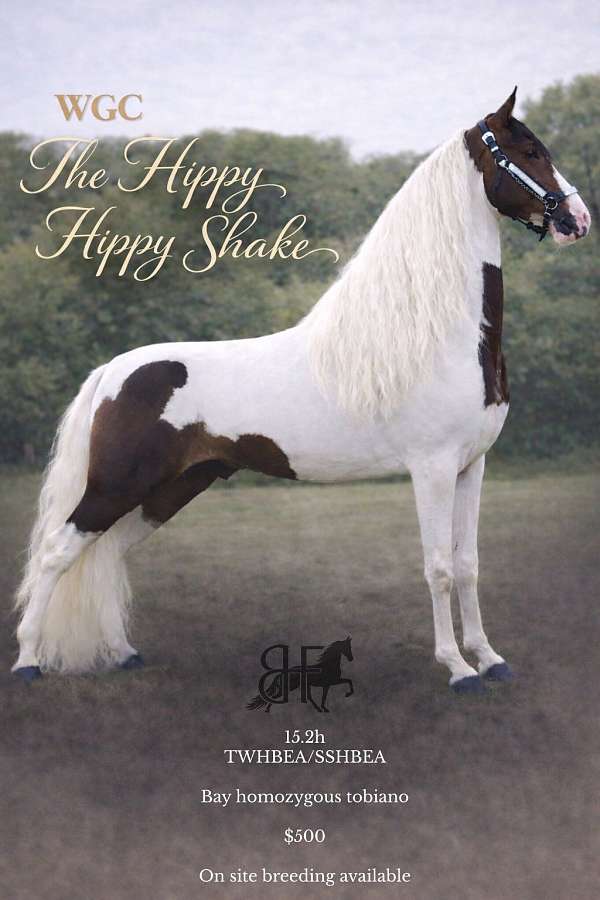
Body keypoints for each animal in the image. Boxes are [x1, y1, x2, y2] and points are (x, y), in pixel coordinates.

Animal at [13, 88, 591, 693]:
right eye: (529, 151)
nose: (578, 219)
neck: (443, 336)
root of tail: (112, 371)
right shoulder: (431, 468)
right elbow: (438, 568)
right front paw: (457, 668)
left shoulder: (470, 466)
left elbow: (468, 564)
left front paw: (489, 658)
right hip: (116, 487)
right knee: (56, 552)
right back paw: (28, 661)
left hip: (172, 488)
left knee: (109, 554)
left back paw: (122, 652)